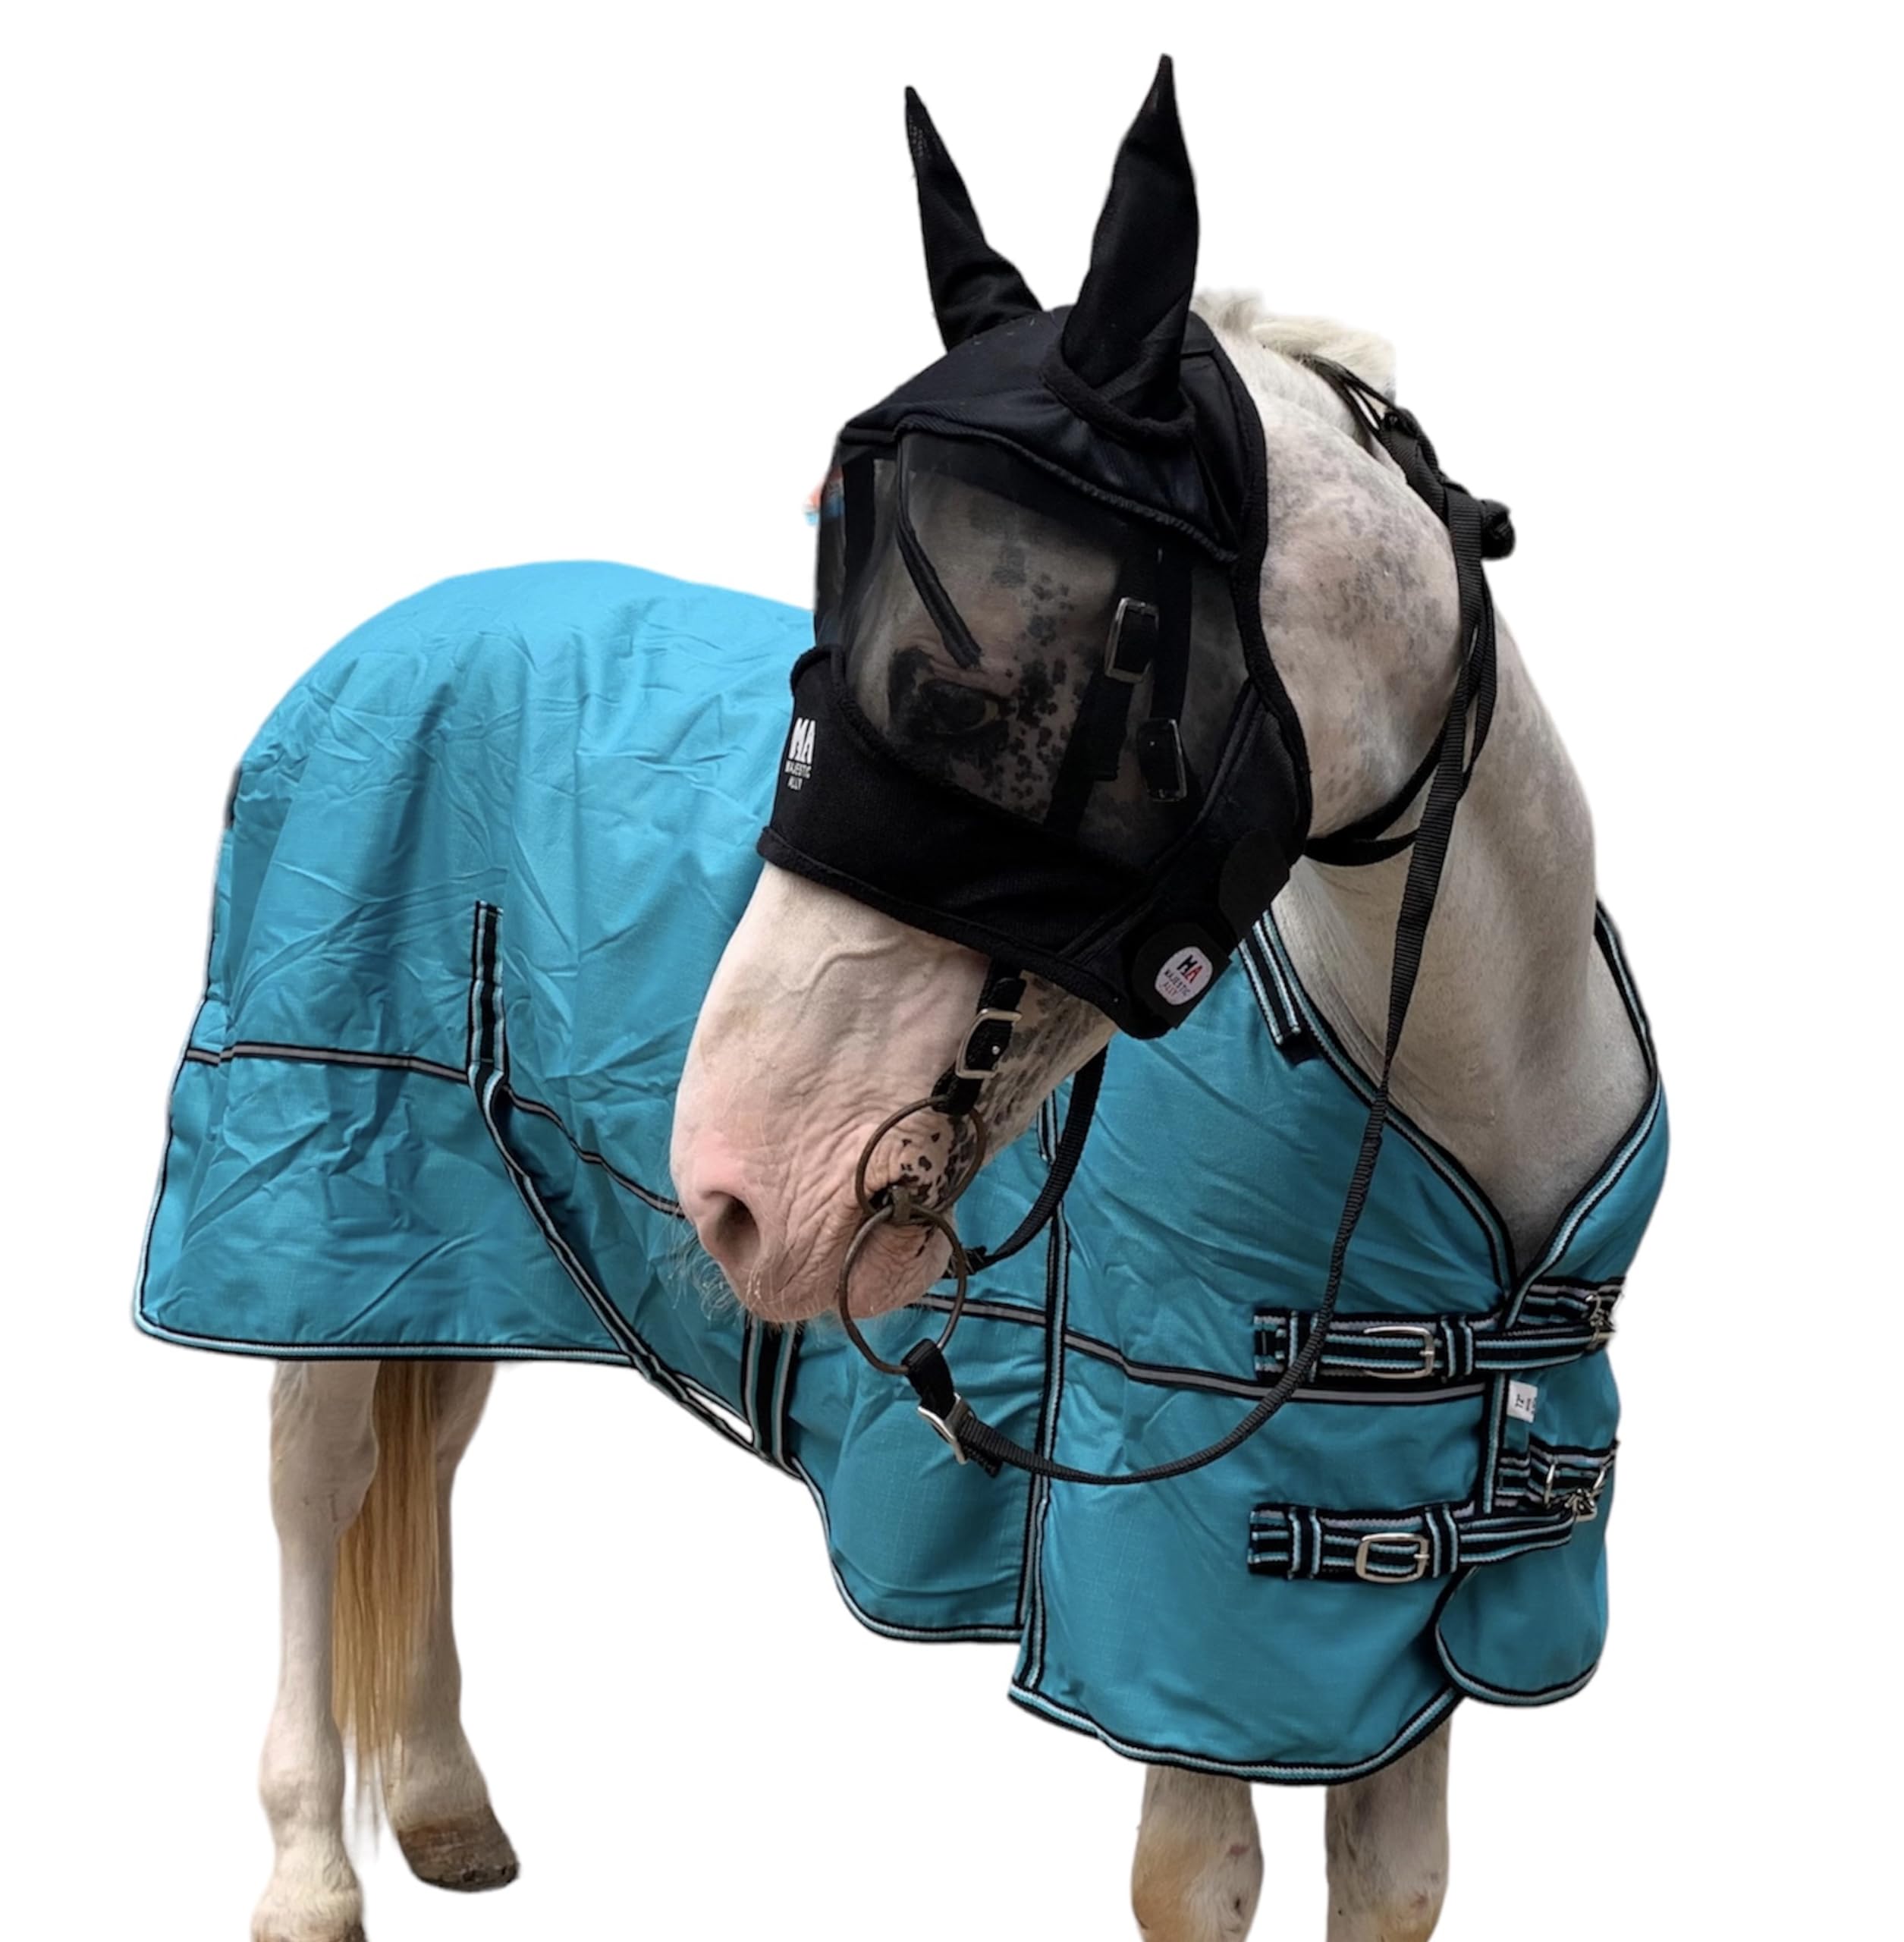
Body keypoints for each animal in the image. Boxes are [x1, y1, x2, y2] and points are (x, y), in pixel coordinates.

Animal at [139, 60, 1664, 1942]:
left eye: (1031, 668)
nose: (730, 1179)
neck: (1468, 1084)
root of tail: (378, 636)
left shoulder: (1391, 1653)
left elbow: (1396, 1881)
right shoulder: (1180, 1630)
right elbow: (1197, 1879)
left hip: (471, 1232)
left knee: (429, 1458)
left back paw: (441, 1807)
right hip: (310, 1193)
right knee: (322, 1486)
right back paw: (309, 1869)